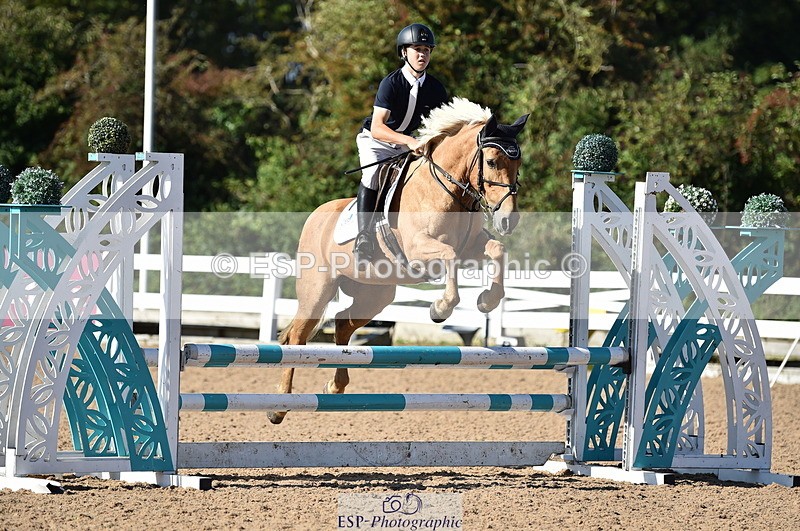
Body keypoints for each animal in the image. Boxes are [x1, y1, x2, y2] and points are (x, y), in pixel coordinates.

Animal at [269, 98, 529, 424]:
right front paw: (440, 308)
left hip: (375, 294)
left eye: (518, 164)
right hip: (317, 291)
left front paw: (486, 300)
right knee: (297, 337)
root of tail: (315, 215)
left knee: (343, 325)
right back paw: (279, 406)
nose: (508, 220)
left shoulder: (472, 246)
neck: (448, 191)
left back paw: (335, 385)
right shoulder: (421, 249)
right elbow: (449, 256)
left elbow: (496, 248)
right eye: (492, 162)